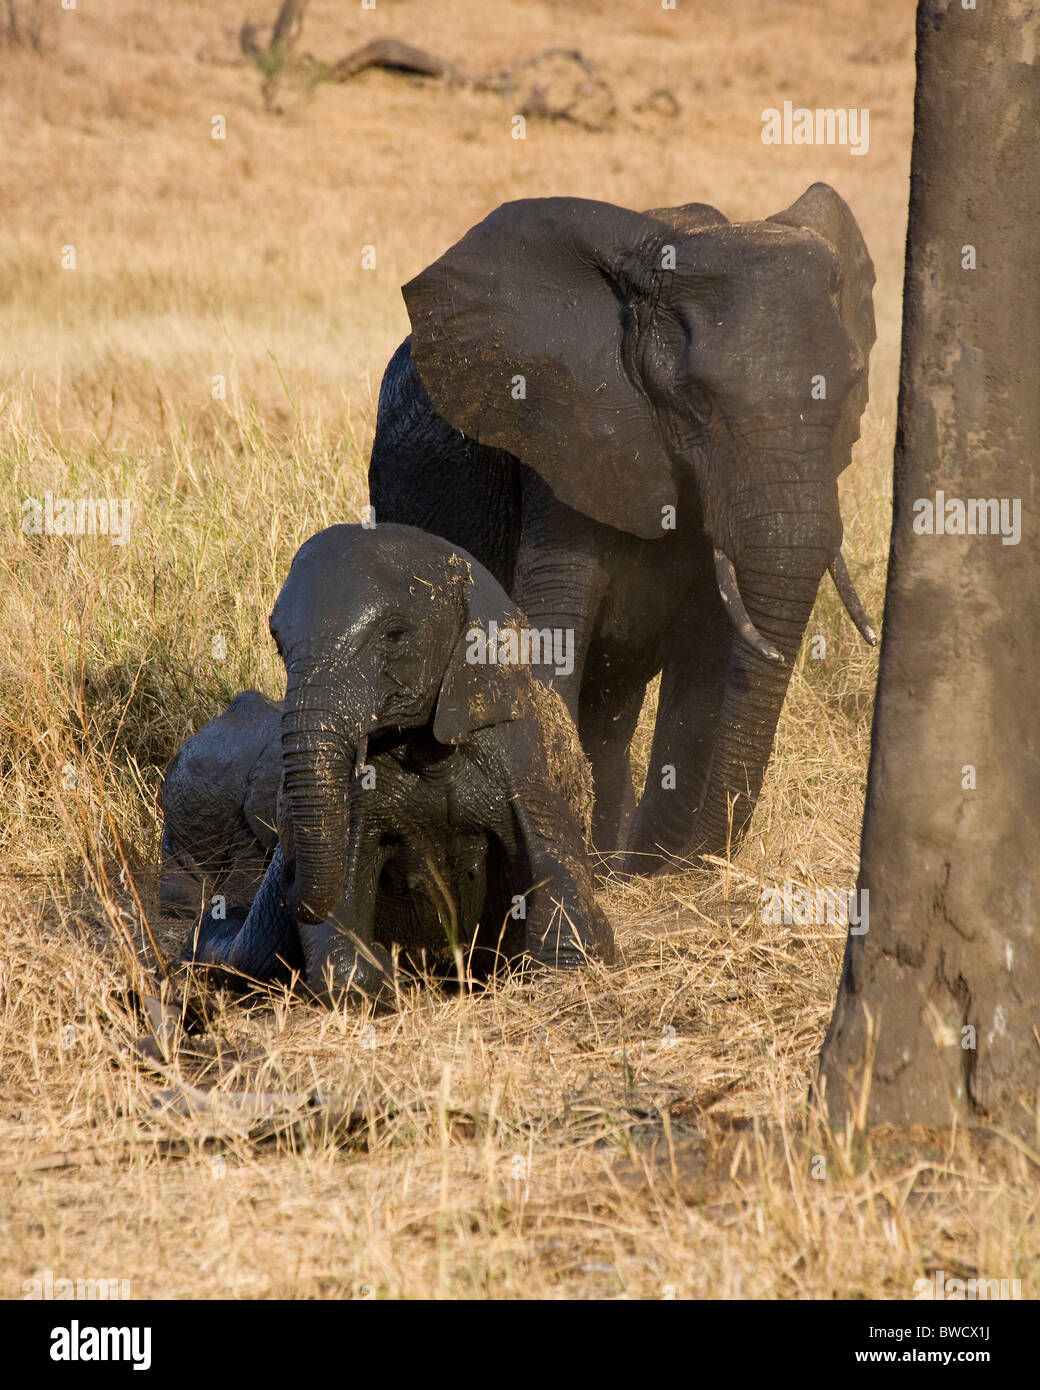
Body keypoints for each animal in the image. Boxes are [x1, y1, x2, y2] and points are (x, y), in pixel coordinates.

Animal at [166, 523, 613, 1004]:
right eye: (277, 641)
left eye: (394, 634)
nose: (285, 860)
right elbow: (343, 897)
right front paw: (388, 977)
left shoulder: (519, 756)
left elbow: (554, 858)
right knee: (248, 954)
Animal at [368, 184, 878, 874]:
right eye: (696, 401)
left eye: (851, 387)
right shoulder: (562, 439)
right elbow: (552, 631)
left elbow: (708, 659)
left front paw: (655, 875)